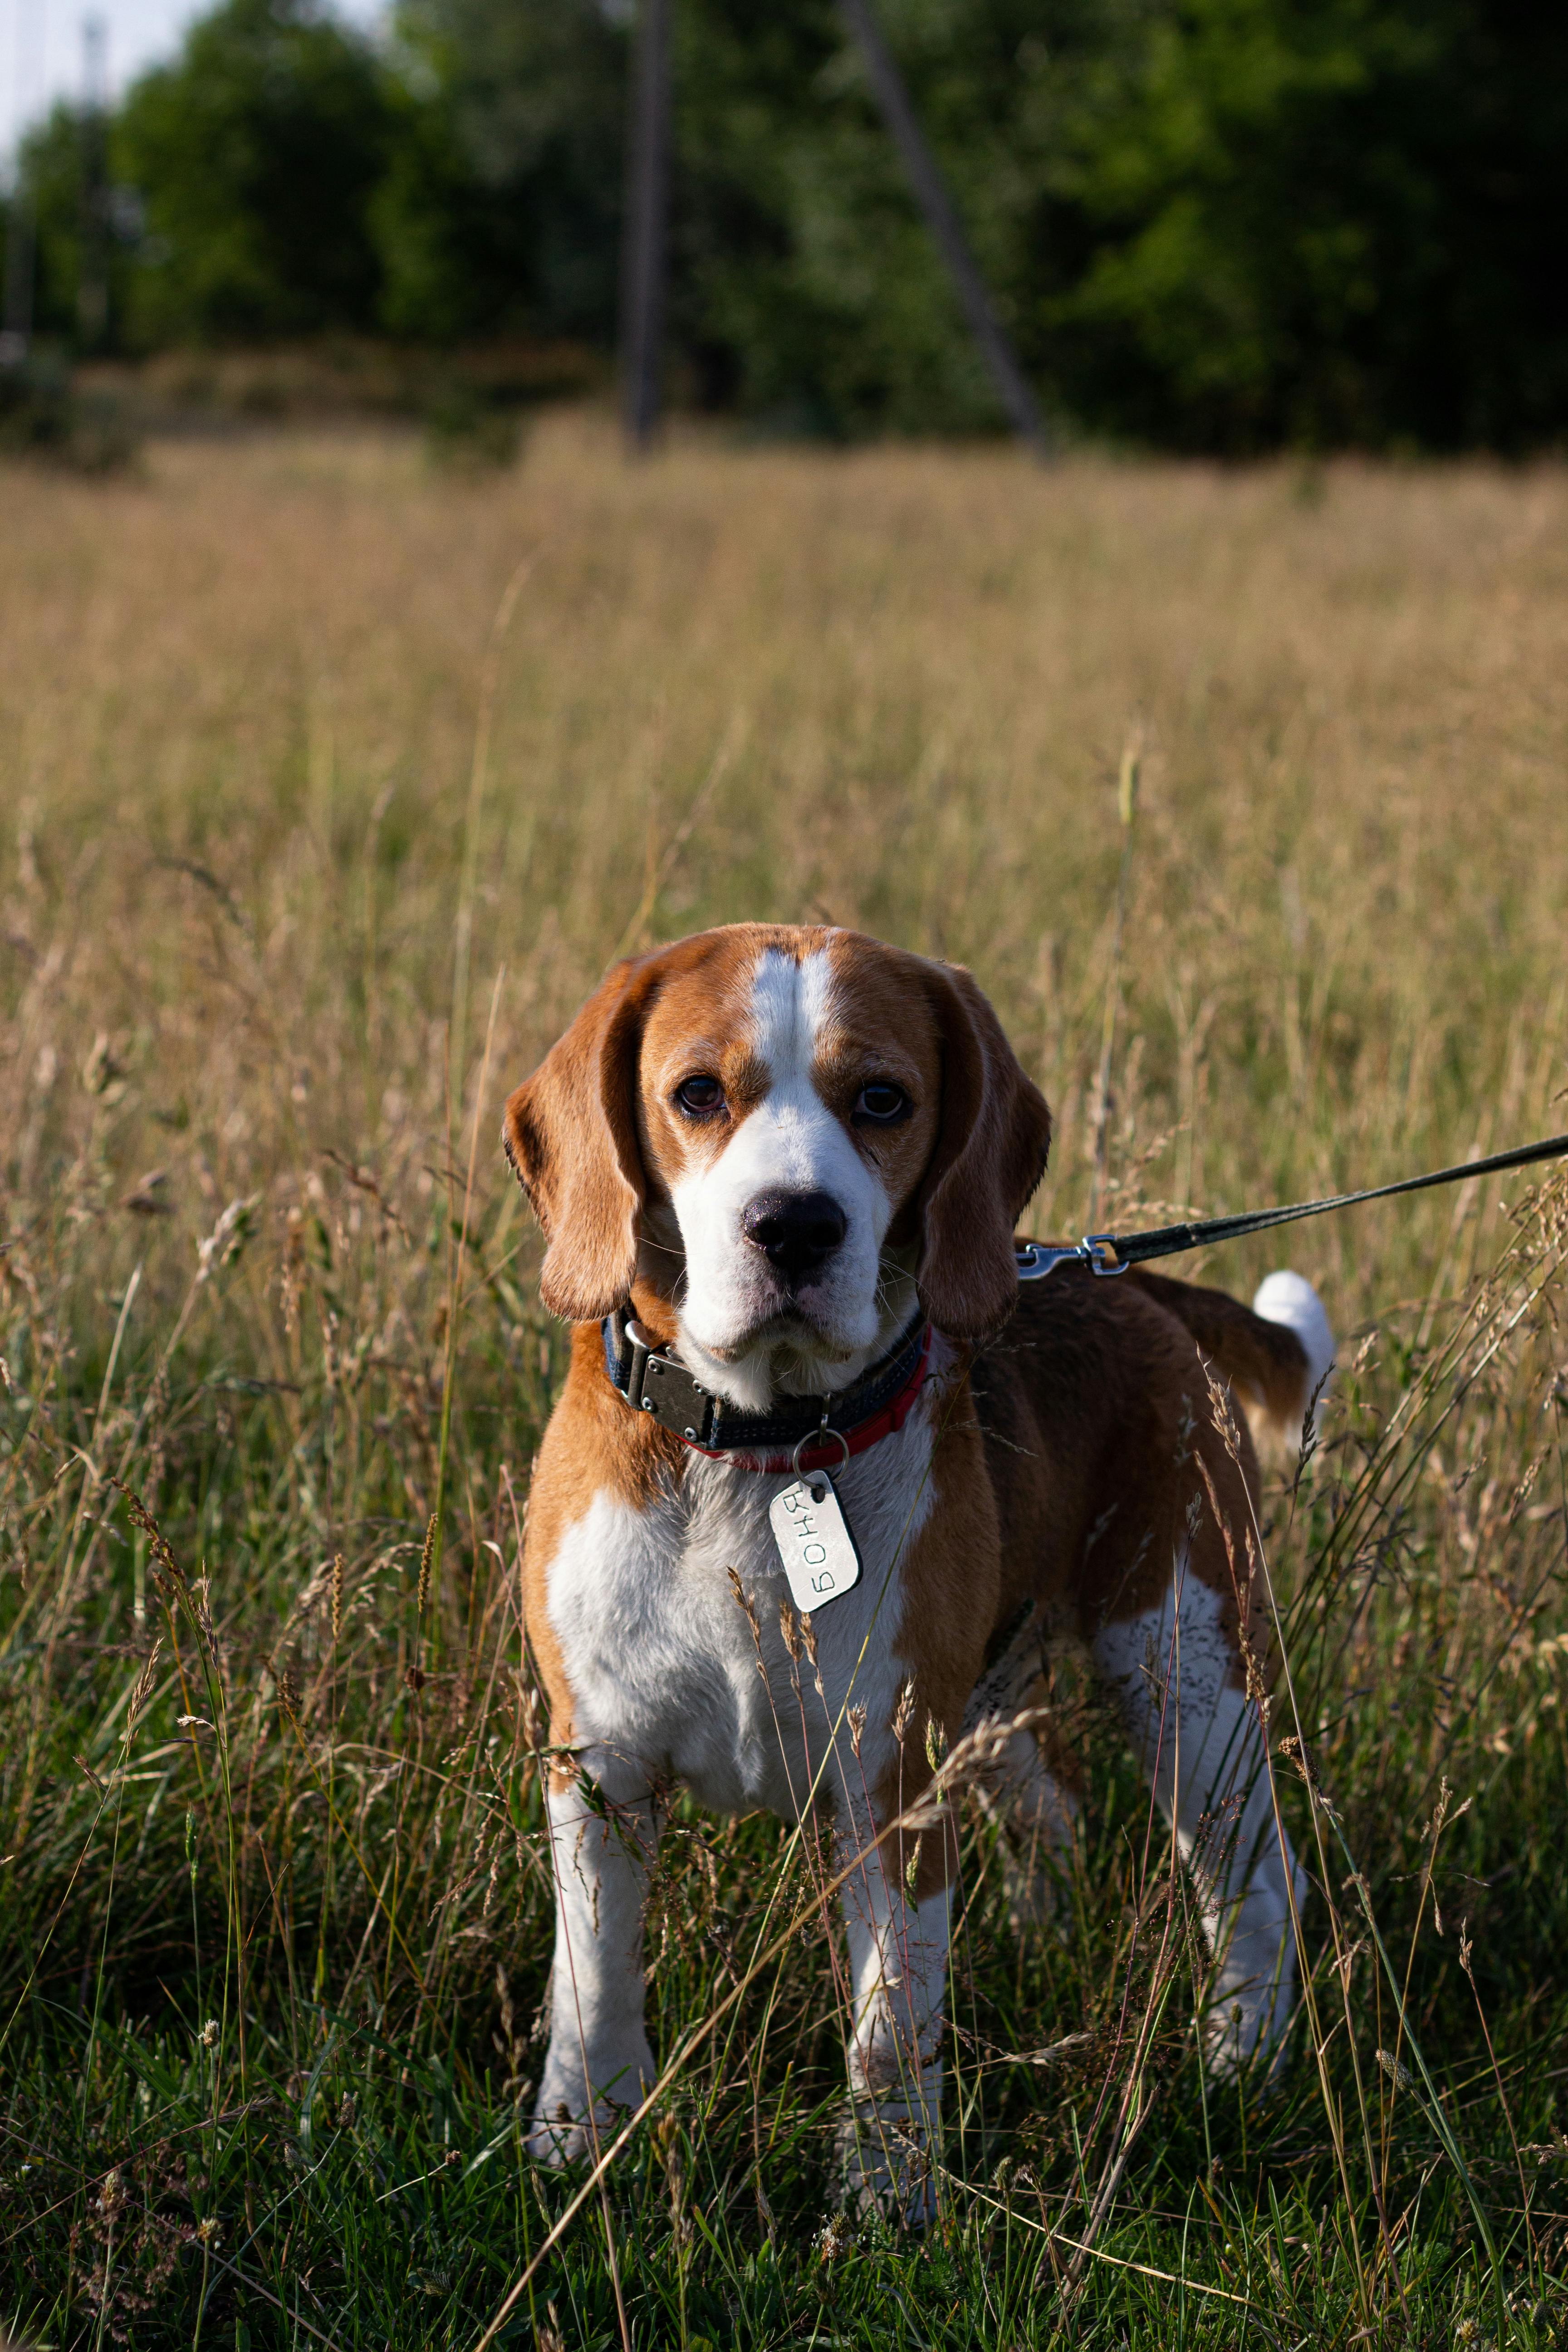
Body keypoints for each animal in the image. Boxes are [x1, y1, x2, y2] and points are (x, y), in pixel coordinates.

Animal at [503, 912, 1335, 2201]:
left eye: (883, 1099)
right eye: (696, 1094)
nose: (794, 1224)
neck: (761, 1449)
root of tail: (1126, 1278)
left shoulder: (893, 1782)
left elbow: (893, 2013)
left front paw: (887, 2195)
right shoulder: (597, 1763)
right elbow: (593, 1978)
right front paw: (579, 2136)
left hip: (1186, 1671)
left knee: (1254, 1880)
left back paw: (1239, 2060)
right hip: (998, 1702)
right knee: (1054, 1805)